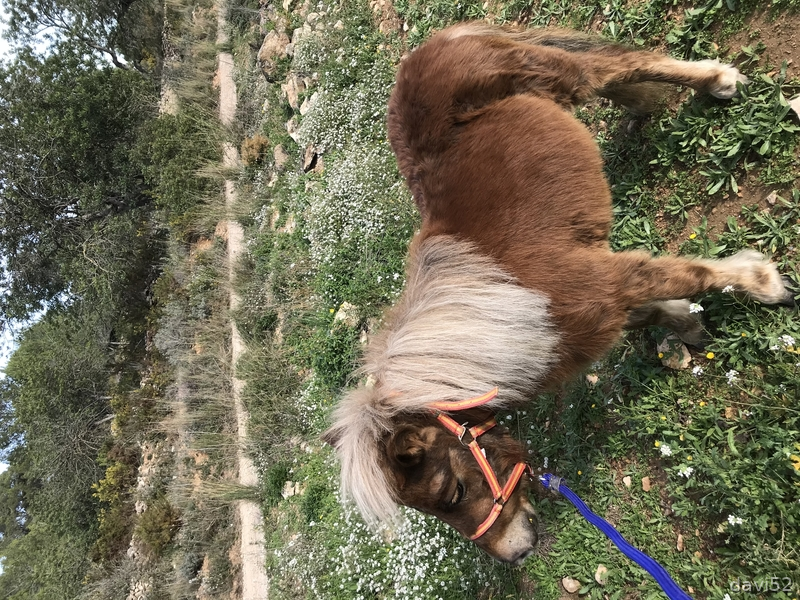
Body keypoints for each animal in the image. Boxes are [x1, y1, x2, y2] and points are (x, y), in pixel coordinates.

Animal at [322, 23, 793, 564]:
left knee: (626, 65)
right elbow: (650, 309)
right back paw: (645, 109)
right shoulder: (593, 310)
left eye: (452, 493)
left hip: (557, 73)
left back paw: (718, 82)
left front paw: (765, 283)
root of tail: (429, 49)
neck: (508, 313)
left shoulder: (609, 280)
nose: (515, 553)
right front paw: (688, 325)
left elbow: (688, 275)